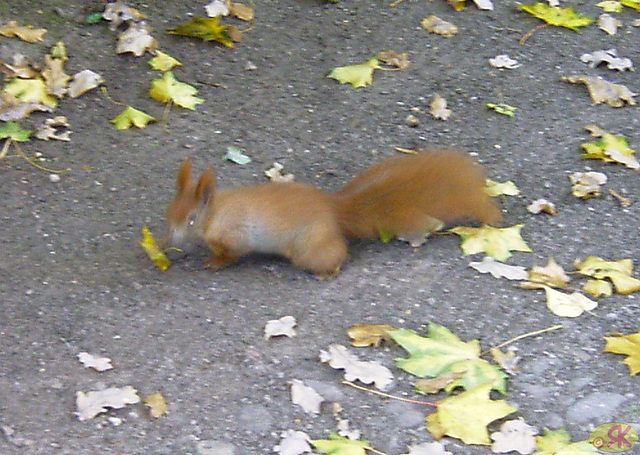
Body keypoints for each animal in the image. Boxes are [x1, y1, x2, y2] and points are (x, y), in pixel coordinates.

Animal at [162, 150, 502, 278]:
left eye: (191, 219)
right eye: (169, 213)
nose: (169, 241)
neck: (215, 212)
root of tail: (334, 211)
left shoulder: (234, 234)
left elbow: (232, 252)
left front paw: (213, 262)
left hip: (308, 247)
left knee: (336, 256)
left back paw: (326, 272)